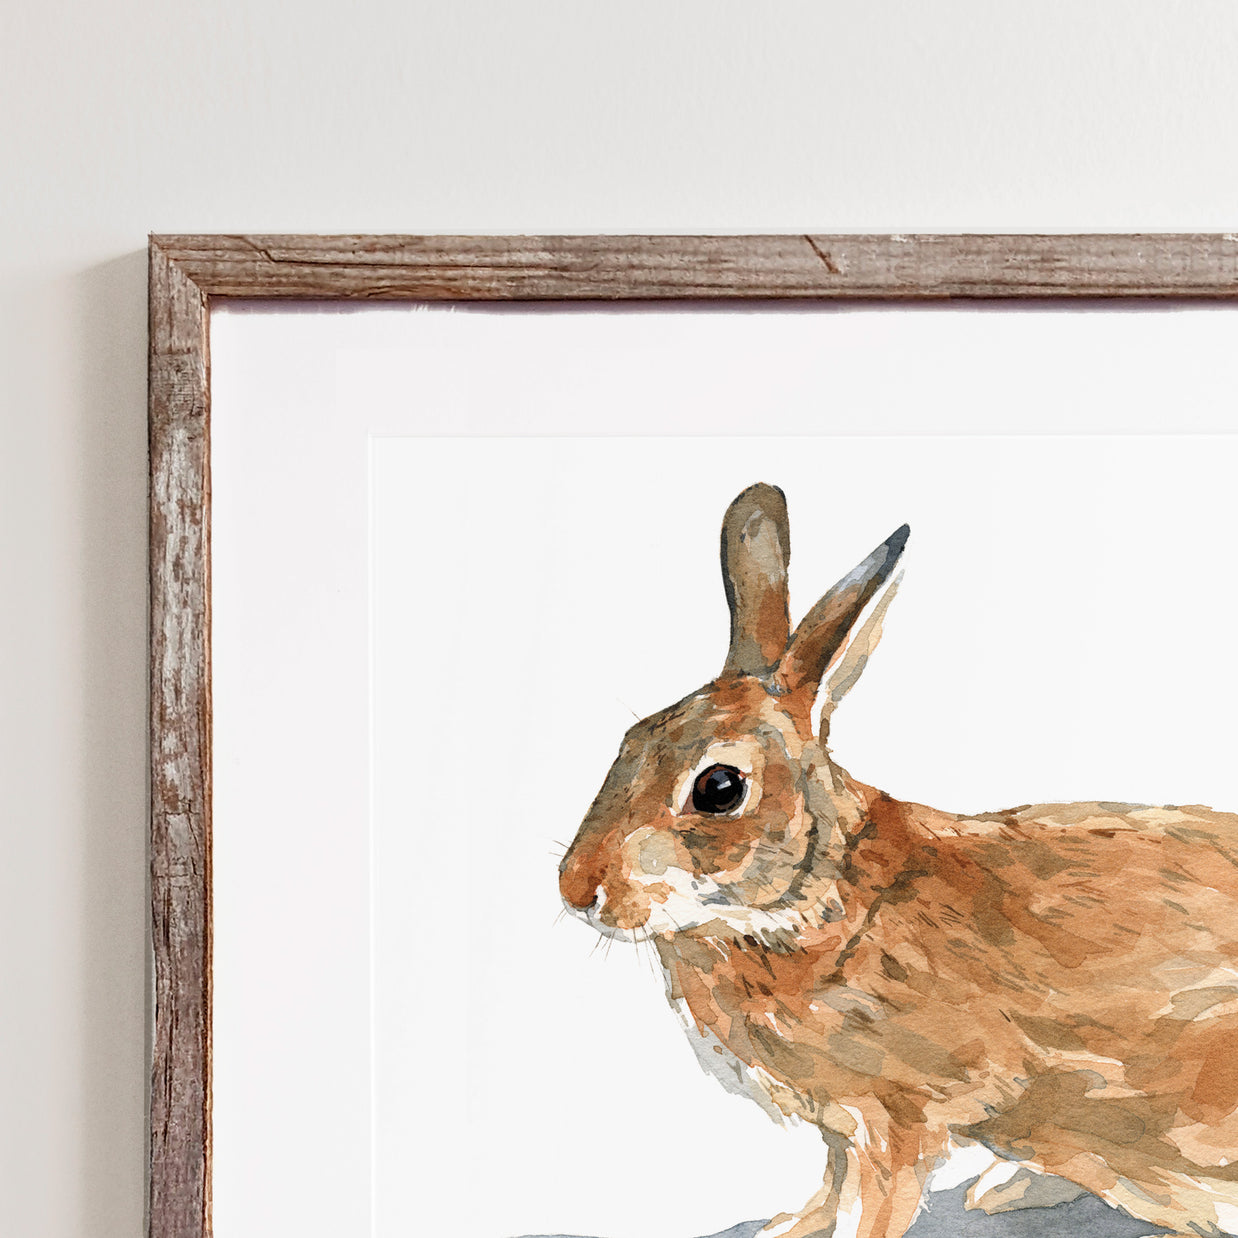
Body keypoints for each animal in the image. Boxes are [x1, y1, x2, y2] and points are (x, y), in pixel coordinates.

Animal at [559, 482, 1238, 1238]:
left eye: (720, 788)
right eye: (630, 740)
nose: (576, 889)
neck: (823, 898)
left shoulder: (897, 1118)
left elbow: (877, 1202)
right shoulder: (841, 1127)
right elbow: (831, 1182)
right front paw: (788, 1228)